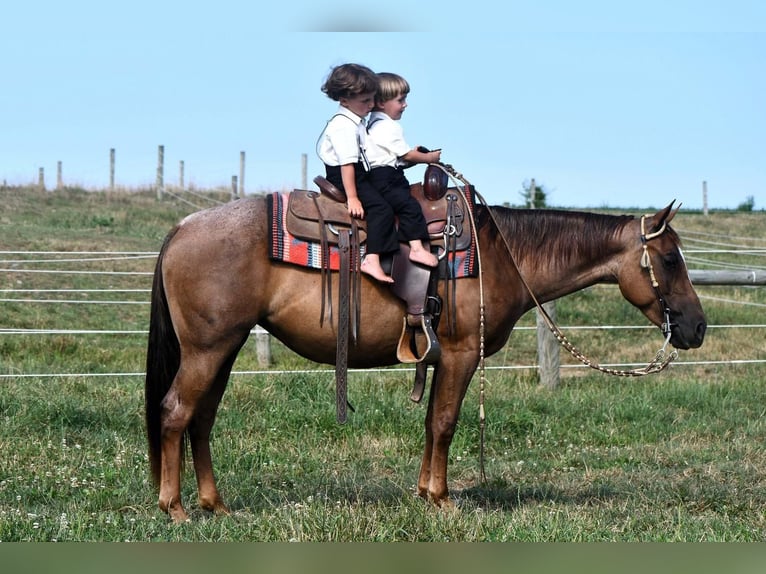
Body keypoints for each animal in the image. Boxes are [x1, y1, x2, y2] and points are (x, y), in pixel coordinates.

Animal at [144, 196, 708, 524]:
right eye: (669, 259)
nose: (697, 327)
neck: (501, 254)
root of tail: (180, 228)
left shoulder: (439, 358)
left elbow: (431, 421)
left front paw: (424, 491)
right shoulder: (459, 355)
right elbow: (444, 422)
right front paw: (442, 497)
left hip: (225, 348)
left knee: (201, 420)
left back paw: (215, 505)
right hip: (209, 350)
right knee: (175, 412)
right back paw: (175, 509)